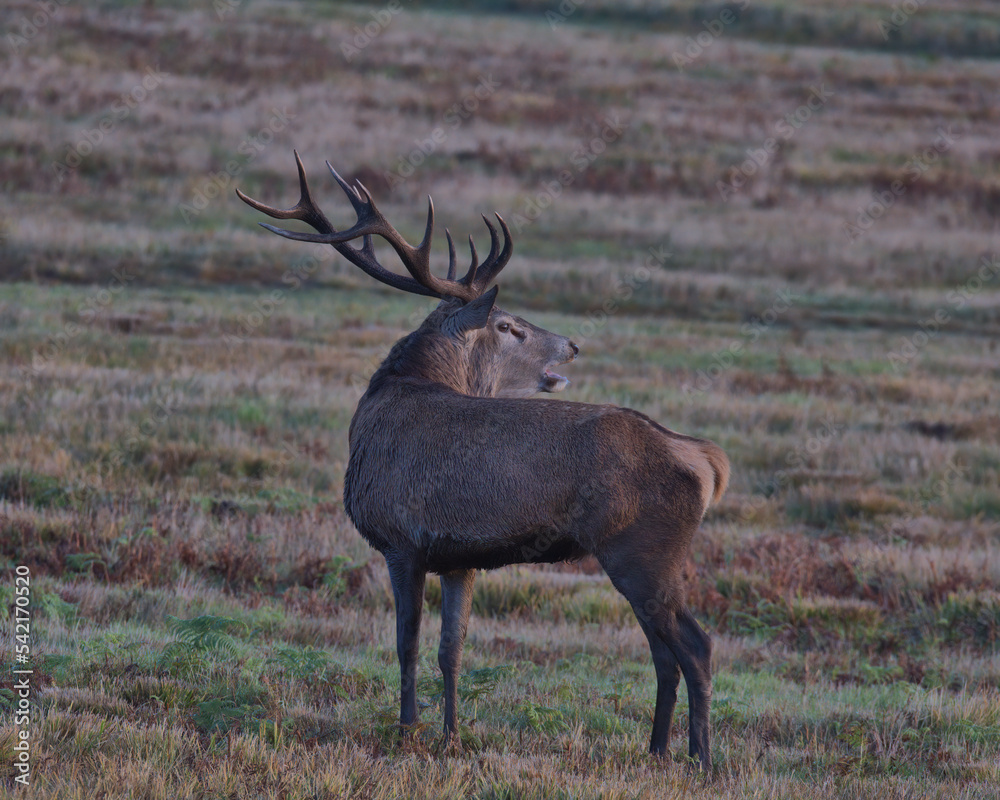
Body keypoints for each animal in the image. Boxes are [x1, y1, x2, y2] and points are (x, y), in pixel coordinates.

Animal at [236, 152, 729, 770]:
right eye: (508, 325)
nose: (572, 344)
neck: (386, 401)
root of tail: (705, 460)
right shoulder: (457, 556)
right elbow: (451, 646)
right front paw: (449, 735)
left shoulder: (400, 537)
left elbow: (406, 641)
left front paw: (407, 730)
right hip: (649, 560)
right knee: (664, 652)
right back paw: (657, 749)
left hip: (642, 550)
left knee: (697, 646)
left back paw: (701, 760)